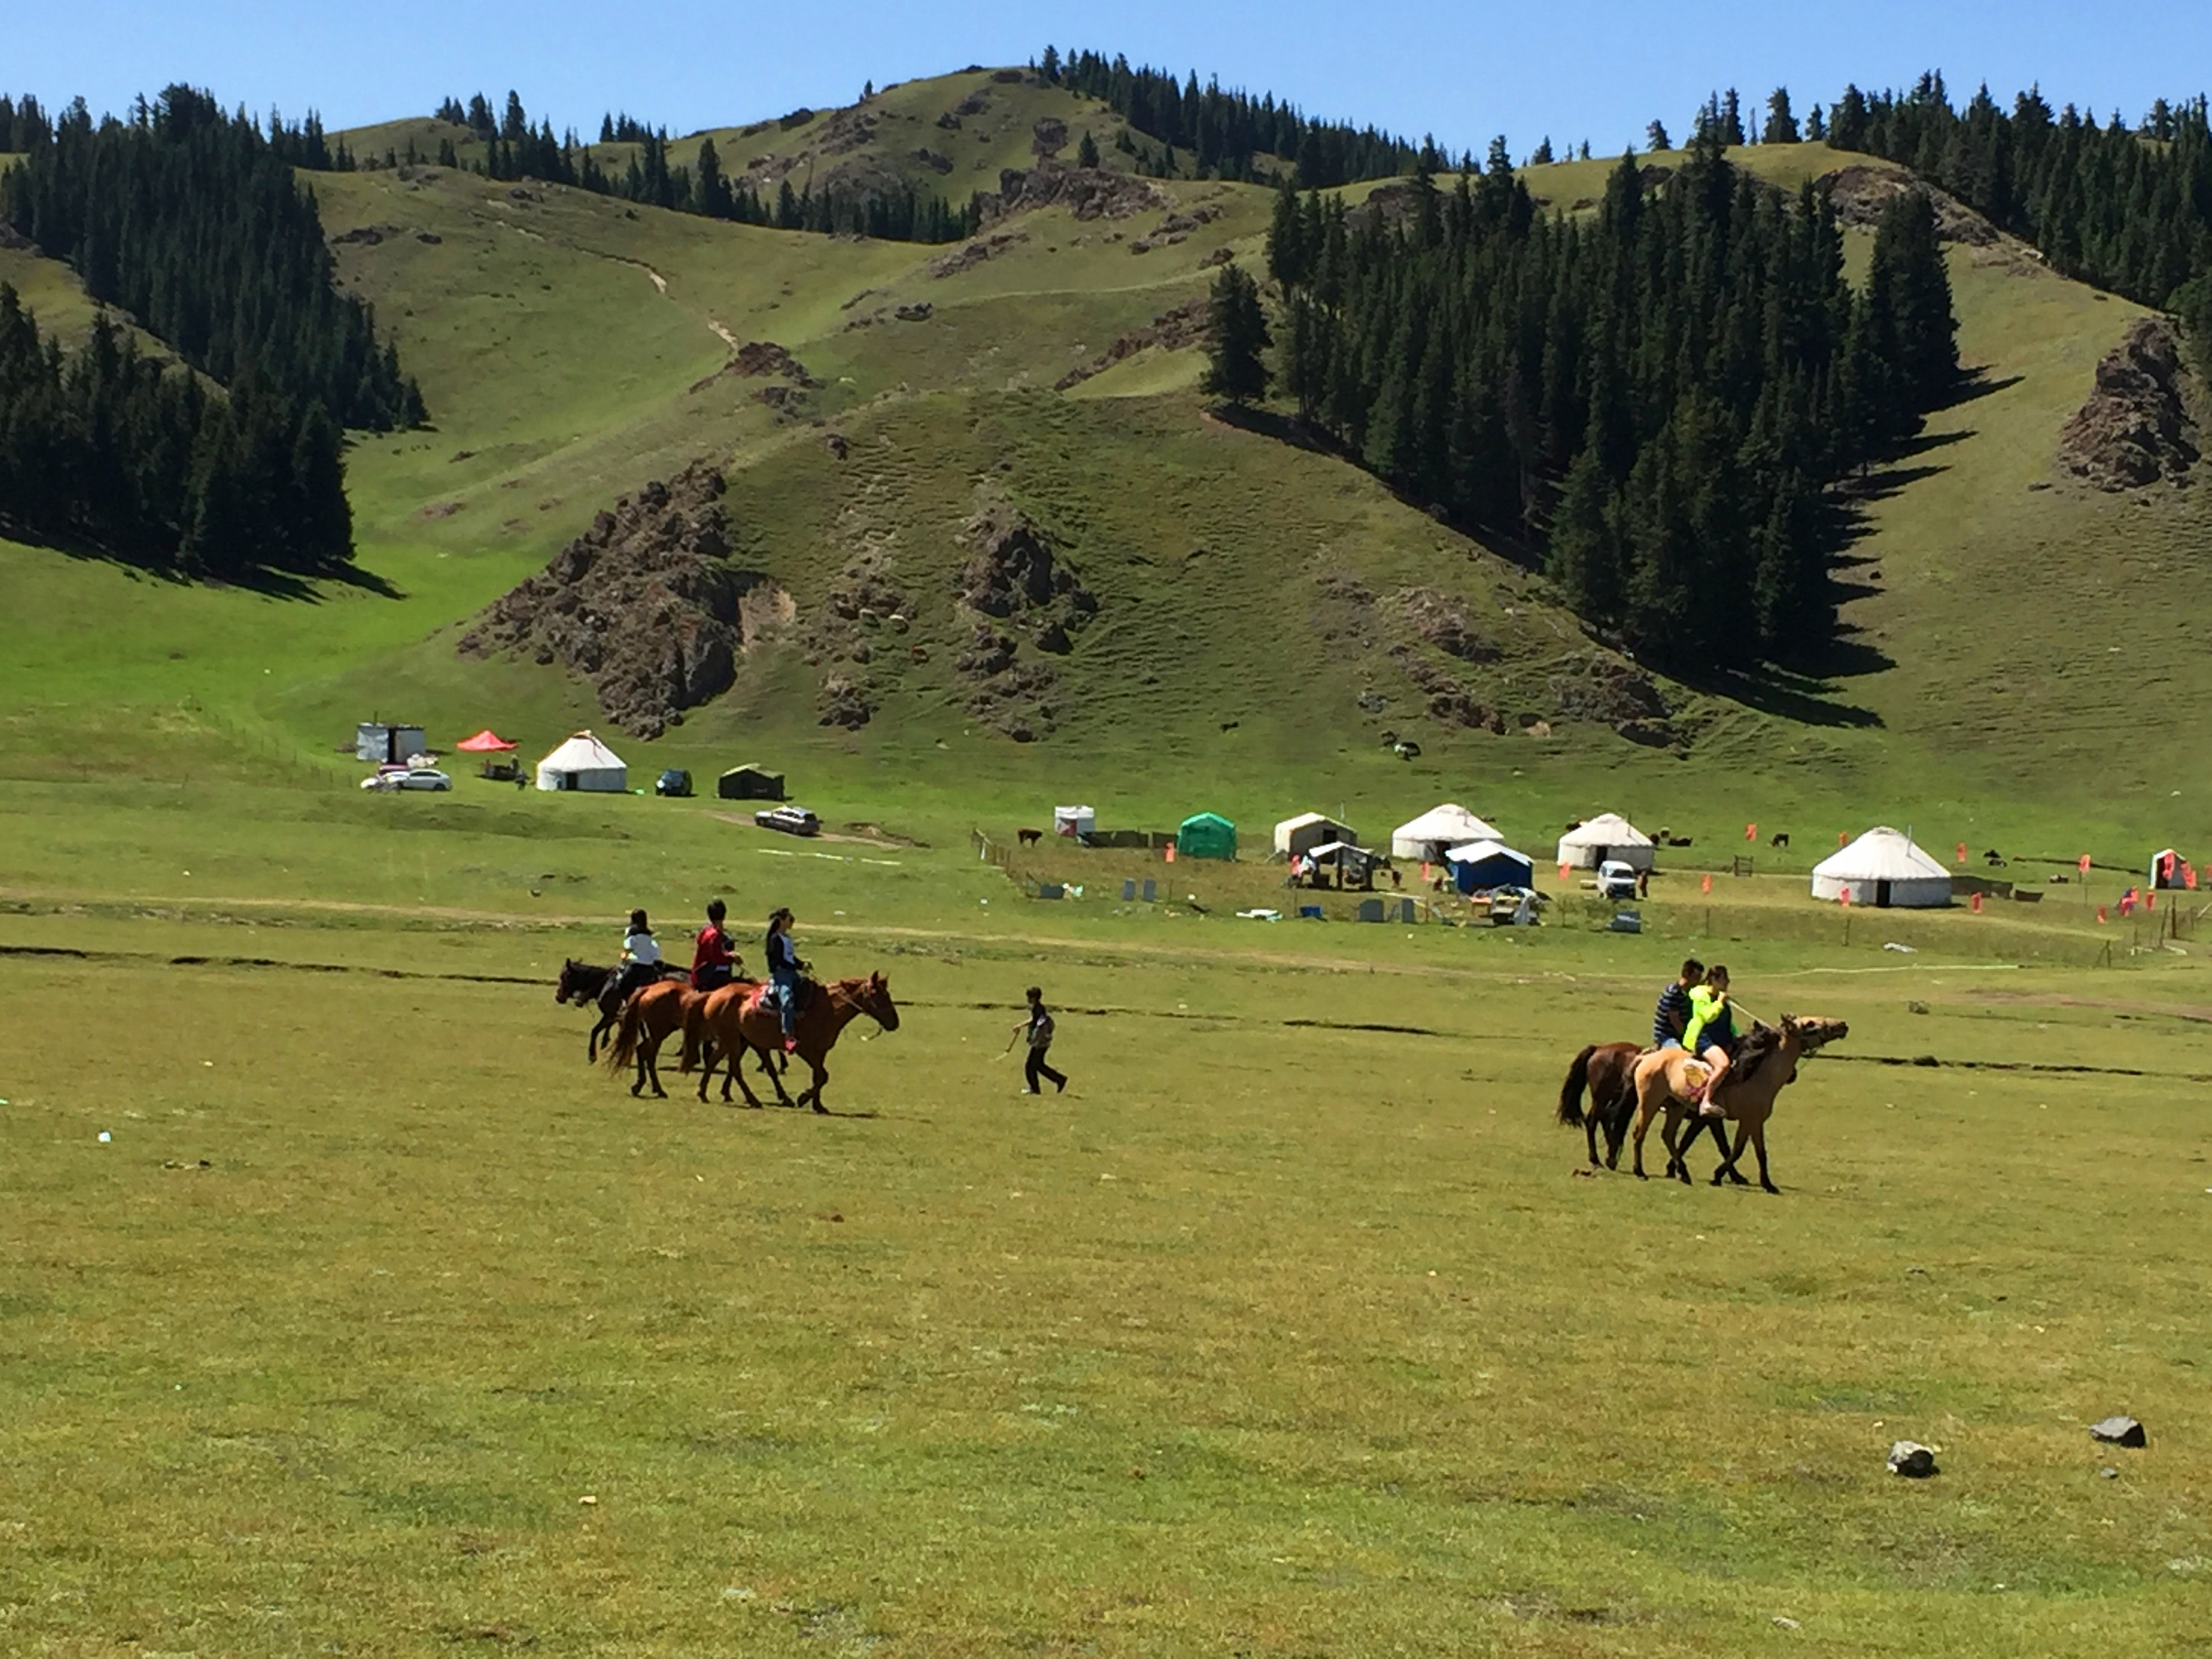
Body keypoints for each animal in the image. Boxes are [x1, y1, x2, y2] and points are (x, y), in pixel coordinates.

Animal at [685, 973, 902, 1119]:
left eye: (888, 994)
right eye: (876, 993)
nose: (895, 1023)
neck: (828, 1008)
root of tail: (715, 993)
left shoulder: (820, 1052)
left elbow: (819, 1076)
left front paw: (818, 1105)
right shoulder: (805, 1050)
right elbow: (823, 1076)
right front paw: (803, 1098)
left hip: (731, 1040)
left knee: (716, 1062)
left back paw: (704, 1093)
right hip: (732, 1040)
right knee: (734, 1068)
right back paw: (753, 1100)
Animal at [1628, 1012, 1849, 1194]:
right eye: (1811, 1024)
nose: (1843, 1025)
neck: (1757, 1076)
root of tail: (1646, 1057)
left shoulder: (1751, 1122)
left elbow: (1751, 1151)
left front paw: (1765, 1183)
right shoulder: (1749, 1120)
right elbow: (1739, 1150)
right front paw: (1722, 1176)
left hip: (1676, 1107)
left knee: (1668, 1136)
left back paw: (1684, 1173)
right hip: (1650, 1103)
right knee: (1640, 1134)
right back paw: (1640, 1172)